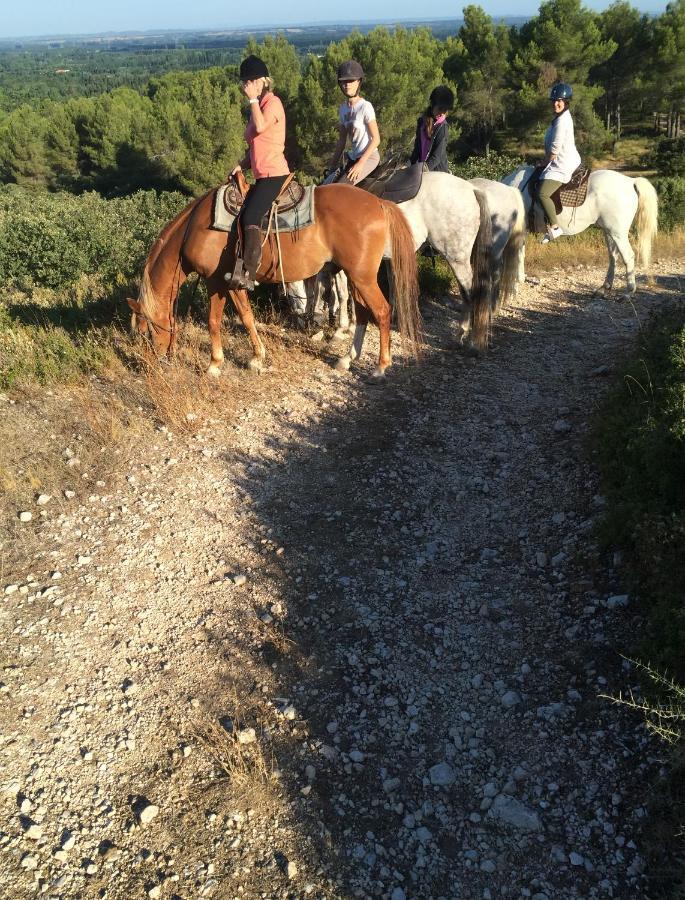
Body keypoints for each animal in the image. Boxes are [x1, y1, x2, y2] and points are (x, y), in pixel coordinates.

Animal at [126, 183, 420, 380]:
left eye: (146, 331)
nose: (149, 365)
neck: (196, 228)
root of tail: (379, 203)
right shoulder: (231, 283)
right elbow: (246, 316)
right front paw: (257, 358)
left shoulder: (216, 282)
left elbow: (216, 321)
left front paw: (214, 364)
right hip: (356, 276)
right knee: (363, 313)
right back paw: (346, 359)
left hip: (362, 277)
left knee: (381, 311)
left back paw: (380, 367)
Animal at [502, 165, 656, 296]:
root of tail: (631, 181)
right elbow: (521, 254)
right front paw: (519, 279)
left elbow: (516, 256)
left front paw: (514, 286)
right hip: (609, 231)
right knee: (613, 255)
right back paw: (604, 287)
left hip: (618, 233)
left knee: (628, 256)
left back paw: (629, 291)